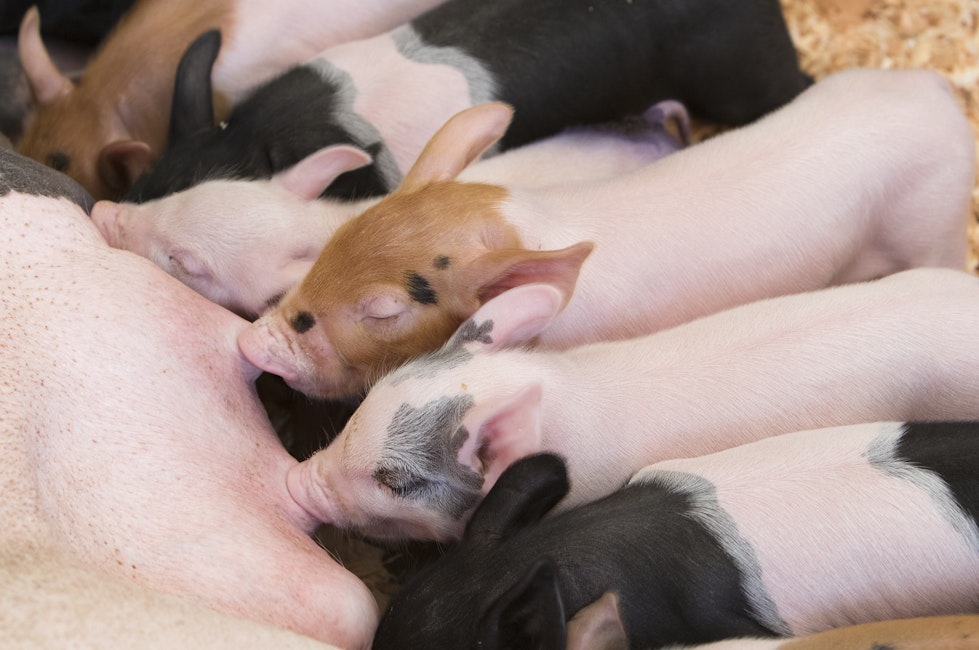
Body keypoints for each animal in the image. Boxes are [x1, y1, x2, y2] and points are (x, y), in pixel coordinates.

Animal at [238, 68, 975, 401]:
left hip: (932, 221)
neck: (525, 228)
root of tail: (938, 93)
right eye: (335, 244)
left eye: (383, 310)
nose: (251, 342)